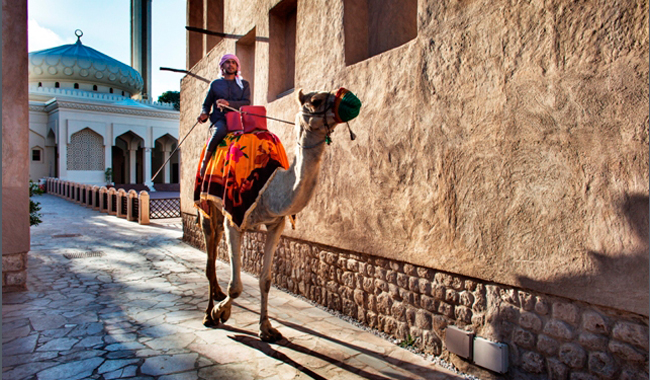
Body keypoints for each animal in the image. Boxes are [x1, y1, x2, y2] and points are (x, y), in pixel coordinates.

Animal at [201, 88, 356, 342]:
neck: (271, 186)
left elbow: (265, 280)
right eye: (316, 101)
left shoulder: (276, 224)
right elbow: (236, 285)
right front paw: (218, 313)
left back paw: (217, 293)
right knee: (210, 249)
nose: (350, 100)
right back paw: (208, 310)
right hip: (206, 202)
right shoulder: (234, 217)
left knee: (215, 243)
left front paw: (266, 328)